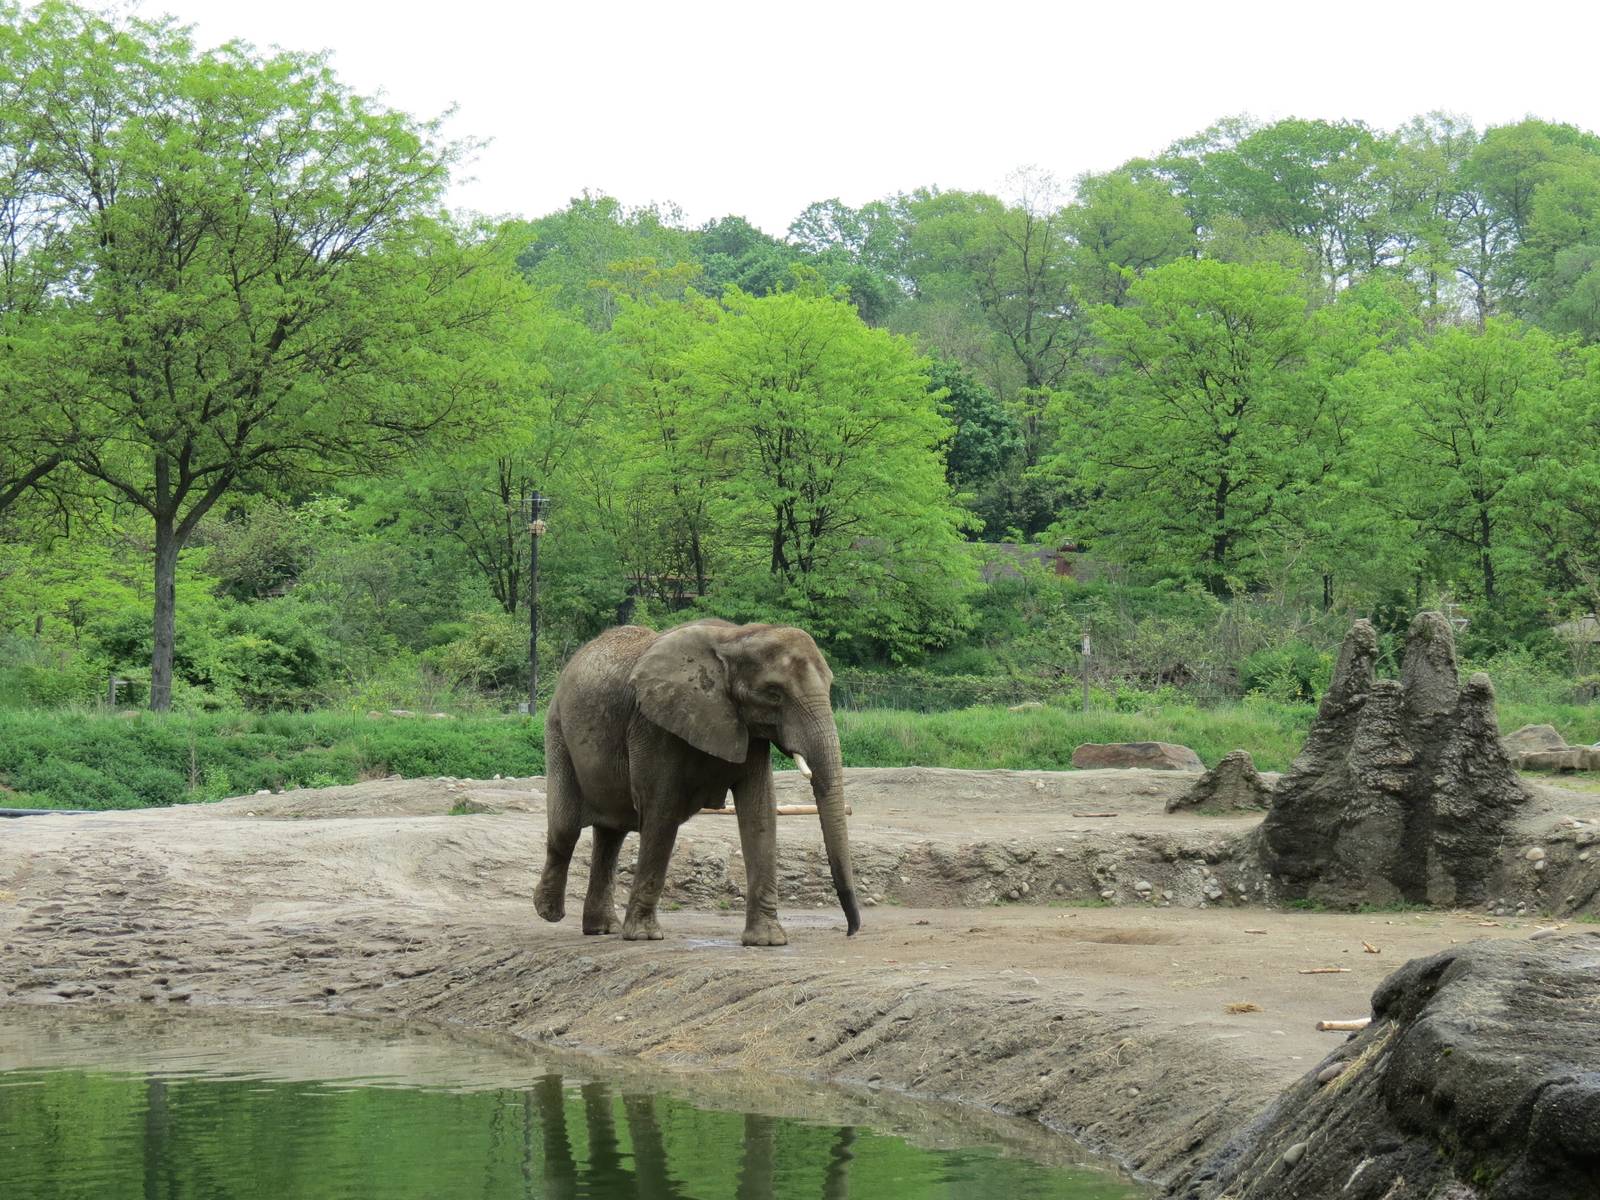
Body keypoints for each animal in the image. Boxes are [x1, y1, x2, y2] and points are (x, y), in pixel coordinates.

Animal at [532, 619, 859, 945]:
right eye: (773, 693)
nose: (850, 931)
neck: (735, 638)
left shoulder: (747, 728)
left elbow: (760, 810)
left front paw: (767, 941)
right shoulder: (652, 722)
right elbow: (661, 808)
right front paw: (644, 936)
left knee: (612, 834)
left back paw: (601, 928)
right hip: (558, 730)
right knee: (566, 828)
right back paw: (548, 912)